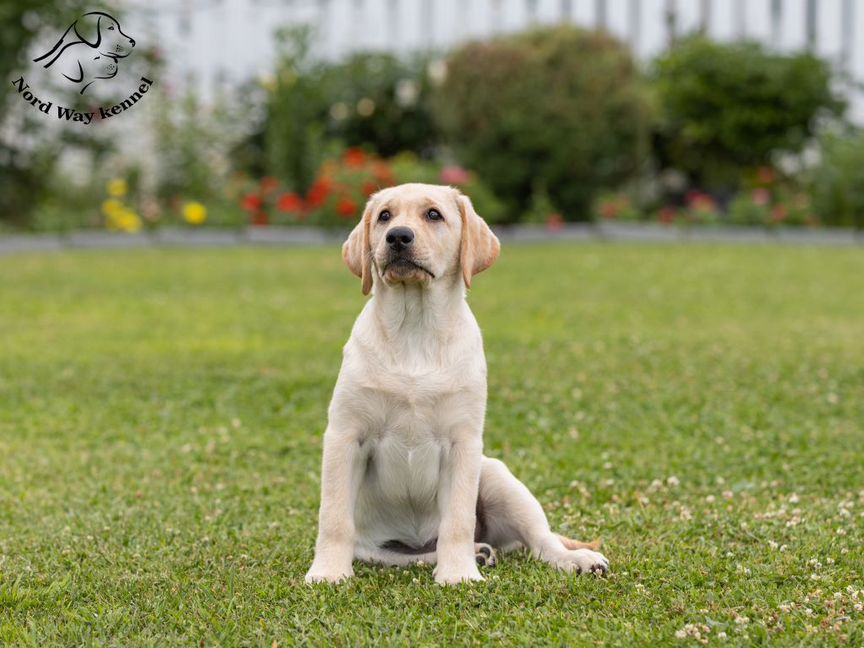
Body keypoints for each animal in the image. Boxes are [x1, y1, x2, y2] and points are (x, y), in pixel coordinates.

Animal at [308, 184, 612, 588]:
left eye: (433, 215)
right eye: (385, 216)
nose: (398, 237)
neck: (415, 329)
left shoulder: (463, 443)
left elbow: (457, 520)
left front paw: (458, 575)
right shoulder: (345, 436)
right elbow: (334, 518)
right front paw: (327, 572)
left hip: (498, 477)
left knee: (540, 540)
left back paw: (572, 559)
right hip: (376, 545)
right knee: (400, 555)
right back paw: (473, 553)